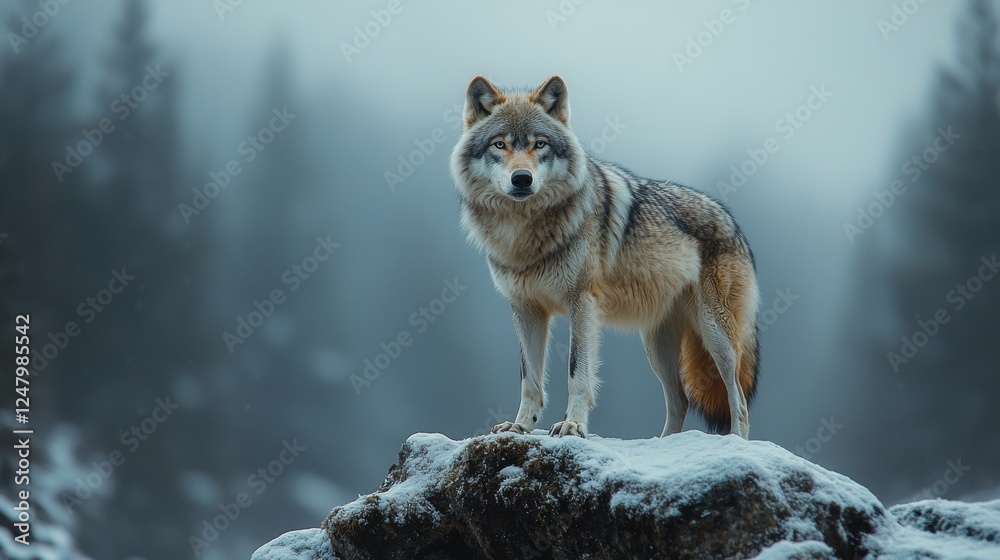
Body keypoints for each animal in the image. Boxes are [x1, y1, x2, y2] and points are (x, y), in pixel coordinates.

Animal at [449, 75, 760, 438]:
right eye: (500, 145)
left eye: (540, 144)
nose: (522, 179)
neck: (524, 233)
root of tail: (732, 222)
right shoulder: (525, 308)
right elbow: (530, 379)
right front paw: (520, 426)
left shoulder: (582, 302)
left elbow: (576, 373)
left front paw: (572, 425)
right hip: (657, 346)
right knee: (680, 399)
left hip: (716, 338)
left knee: (738, 399)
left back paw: (735, 442)